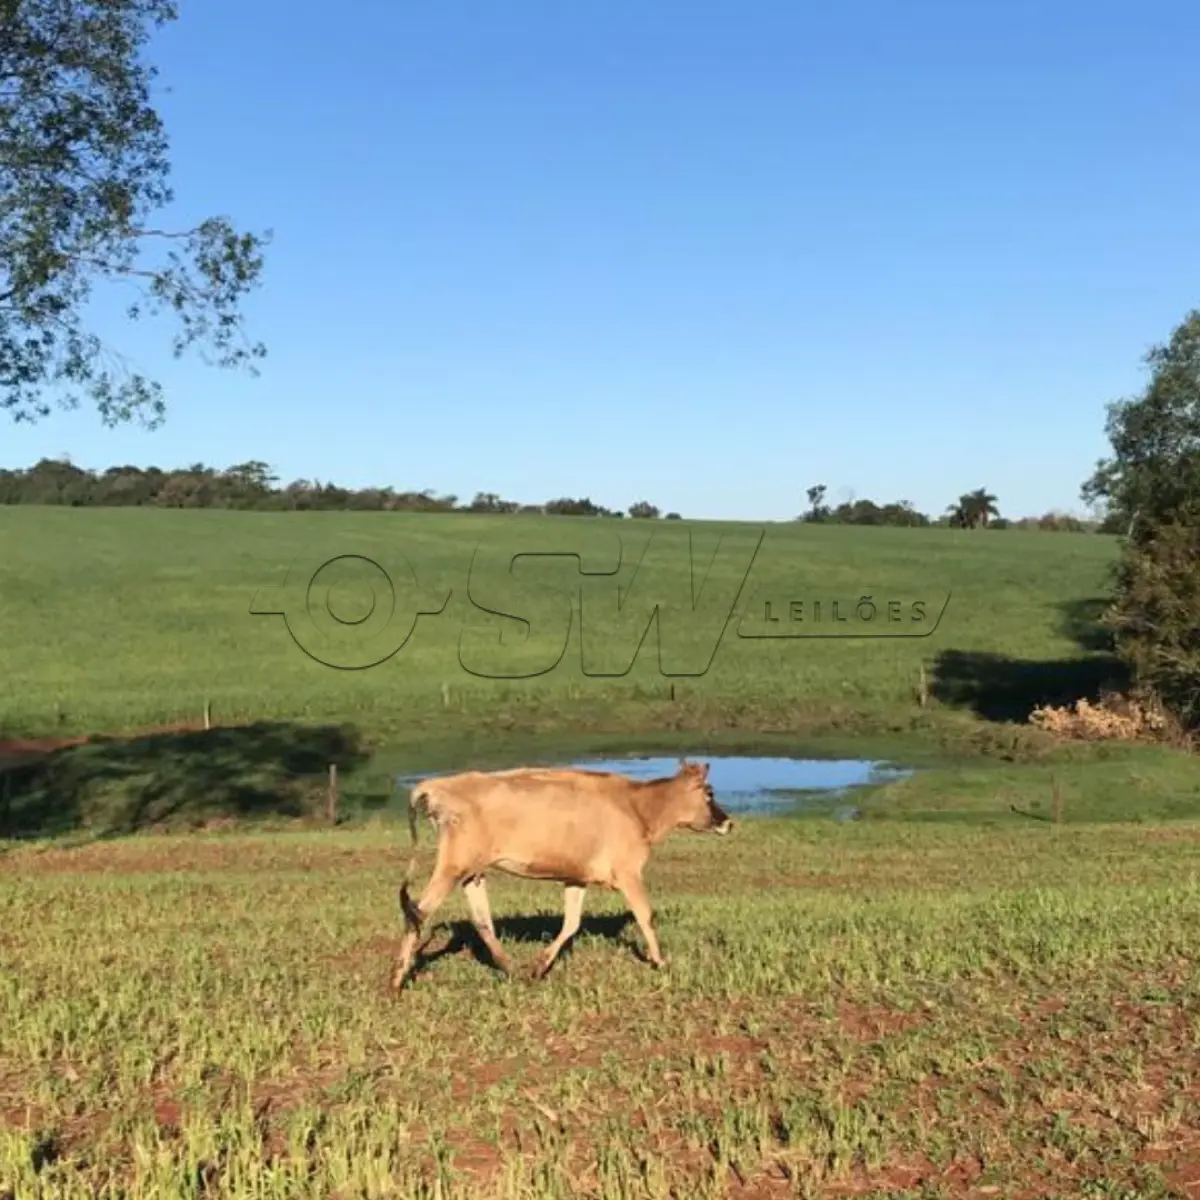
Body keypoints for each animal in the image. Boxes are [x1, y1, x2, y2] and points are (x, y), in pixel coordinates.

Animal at [389, 758, 733, 990]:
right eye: (710, 793)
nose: (729, 822)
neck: (639, 807)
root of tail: (436, 786)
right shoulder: (629, 871)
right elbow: (646, 916)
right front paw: (661, 963)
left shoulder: (576, 878)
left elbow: (571, 923)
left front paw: (540, 966)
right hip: (452, 866)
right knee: (418, 912)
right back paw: (396, 979)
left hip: (472, 872)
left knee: (482, 921)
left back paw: (512, 969)